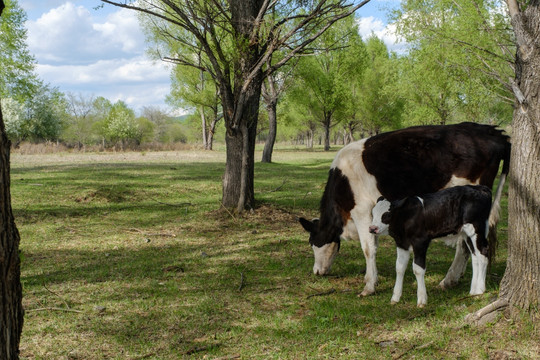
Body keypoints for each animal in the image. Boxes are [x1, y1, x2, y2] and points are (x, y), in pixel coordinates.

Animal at [298, 122, 508, 296]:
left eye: (312, 242)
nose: (317, 271)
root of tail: (490, 131)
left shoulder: (362, 211)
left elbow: (368, 248)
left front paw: (369, 286)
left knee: (466, 245)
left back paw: (450, 280)